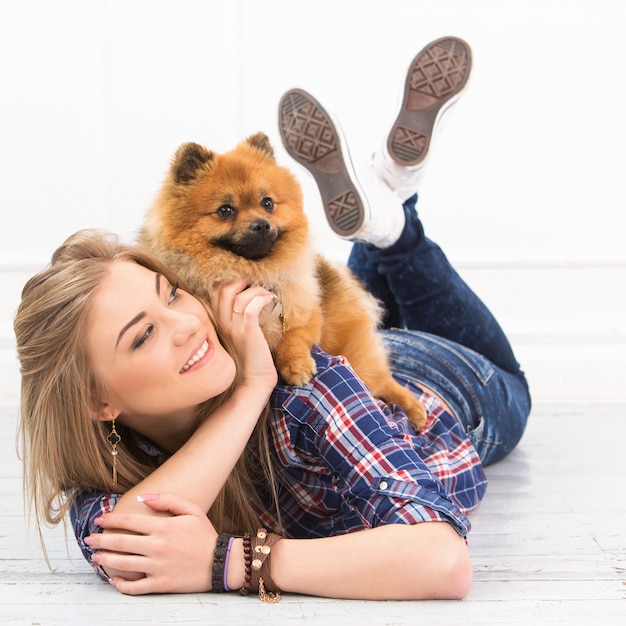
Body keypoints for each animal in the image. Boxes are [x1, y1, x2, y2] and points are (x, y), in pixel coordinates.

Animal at [139, 132, 426, 432]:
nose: (261, 224)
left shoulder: (307, 317)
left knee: (386, 382)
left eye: (267, 203)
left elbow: (292, 336)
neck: (255, 272)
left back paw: (415, 410)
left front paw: (296, 365)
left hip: (359, 357)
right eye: (226, 210)